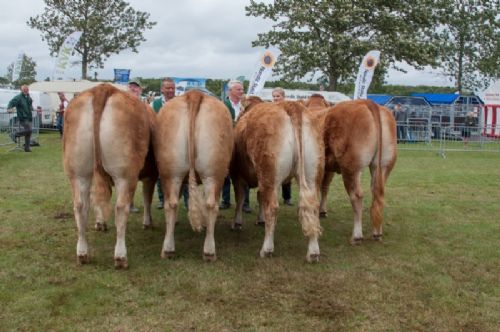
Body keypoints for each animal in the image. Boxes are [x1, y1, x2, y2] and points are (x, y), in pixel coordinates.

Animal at [62, 84, 157, 268]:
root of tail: (103, 88)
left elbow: (98, 199)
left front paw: (100, 223)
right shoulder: (151, 176)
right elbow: (147, 198)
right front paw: (147, 222)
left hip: (78, 172)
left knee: (80, 206)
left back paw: (82, 253)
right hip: (125, 175)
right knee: (120, 208)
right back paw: (120, 257)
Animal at [155, 89, 233, 260]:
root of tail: (194, 94)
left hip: (171, 173)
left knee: (172, 204)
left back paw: (170, 249)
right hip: (213, 173)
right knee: (210, 204)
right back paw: (208, 251)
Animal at [230, 97, 324, 264]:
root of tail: (292, 105)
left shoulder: (237, 175)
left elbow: (240, 199)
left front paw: (237, 222)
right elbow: (260, 197)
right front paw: (259, 220)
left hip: (269, 174)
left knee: (272, 208)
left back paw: (266, 249)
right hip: (311, 175)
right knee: (311, 207)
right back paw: (313, 252)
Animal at [322, 99, 396, 244]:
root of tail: (368, 102)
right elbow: (324, 187)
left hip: (351, 168)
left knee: (357, 196)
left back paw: (356, 236)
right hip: (382, 165)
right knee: (378, 195)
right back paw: (377, 233)